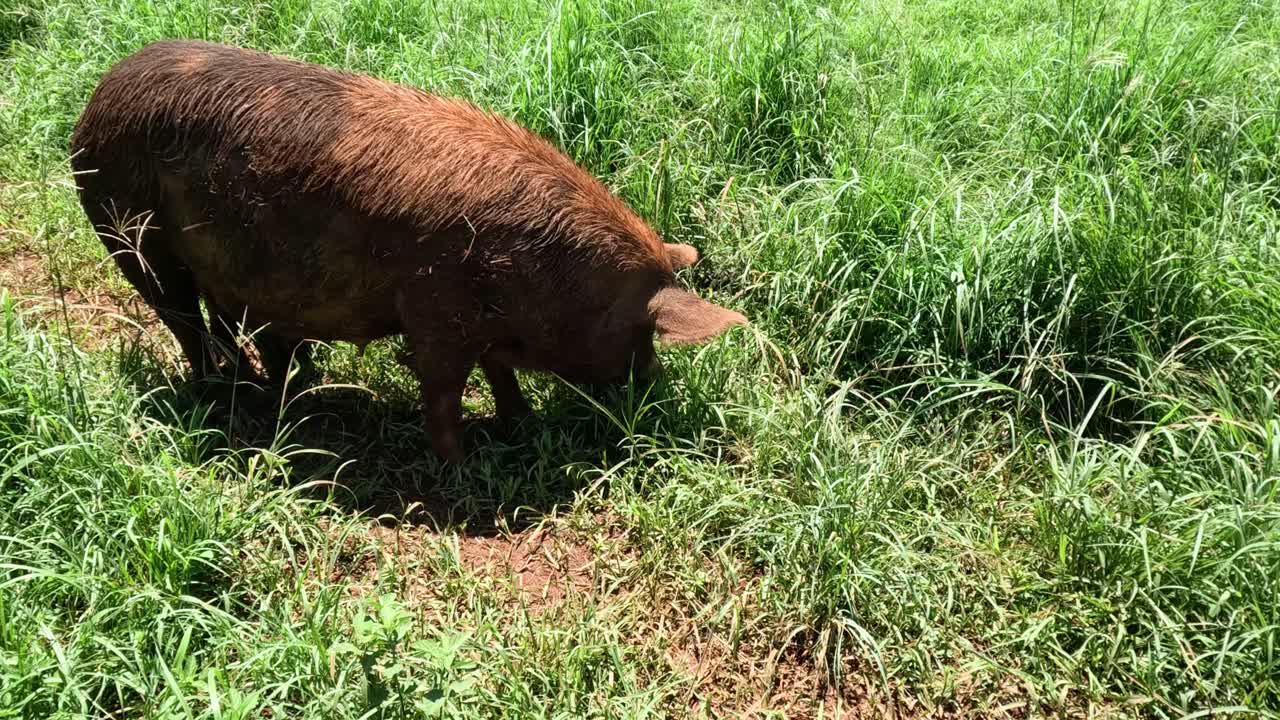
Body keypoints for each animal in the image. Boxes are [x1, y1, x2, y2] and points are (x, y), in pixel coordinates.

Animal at [70, 40, 747, 463]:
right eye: (646, 334)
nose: (649, 390)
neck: (544, 279)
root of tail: (94, 100)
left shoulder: (481, 323)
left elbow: (498, 373)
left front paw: (520, 423)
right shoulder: (434, 312)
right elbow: (443, 391)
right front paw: (462, 467)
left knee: (235, 324)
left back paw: (284, 387)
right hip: (128, 233)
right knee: (182, 320)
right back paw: (221, 400)